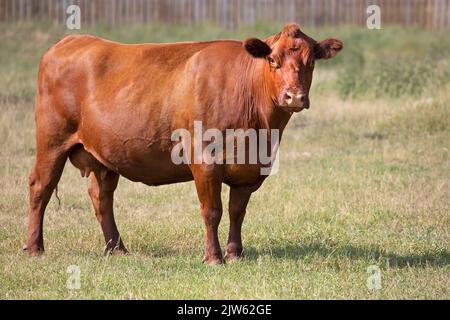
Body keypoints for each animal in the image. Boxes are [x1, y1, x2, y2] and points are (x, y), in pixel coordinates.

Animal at [25, 21, 342, 262]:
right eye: (273, 60)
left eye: (311, 62)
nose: (294, 96)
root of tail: (71, 41)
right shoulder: (205, 160)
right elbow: (212, 211)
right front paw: (214, 257)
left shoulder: (250, 168)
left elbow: (237, 211)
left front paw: (235, 254)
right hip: (52, 140)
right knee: (41, 187)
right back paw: (34, 247)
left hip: (104, 154)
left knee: (101, 196)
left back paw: (117, 249)